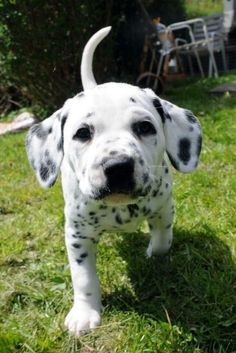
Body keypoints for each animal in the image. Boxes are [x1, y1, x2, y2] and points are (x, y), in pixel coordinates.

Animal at [26, 27, 202, 336]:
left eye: (145, 127)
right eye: (82, 133)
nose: (118, 167)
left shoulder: (163, 210)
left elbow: (162, 240)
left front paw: (153, 253)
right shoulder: (77, 234)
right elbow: (83, 277)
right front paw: (85, 313)